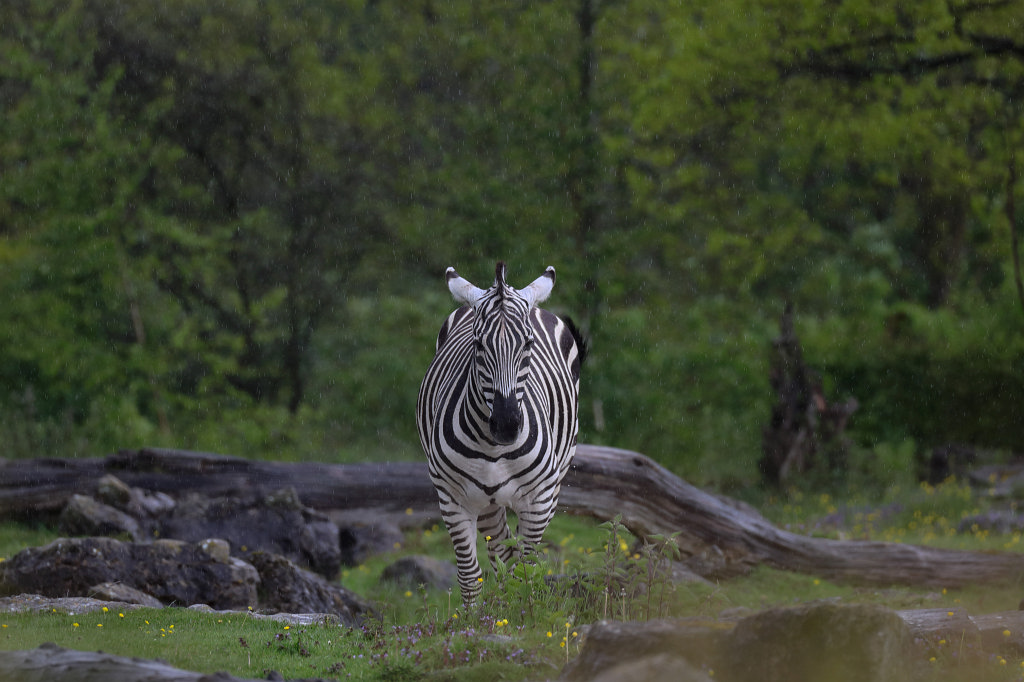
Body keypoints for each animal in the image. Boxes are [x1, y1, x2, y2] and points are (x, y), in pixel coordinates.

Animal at [416, 262, 582, 604]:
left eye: (529, 344)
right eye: (478, 344)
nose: (506, 425)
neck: (493, 450)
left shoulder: (538, 500)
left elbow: (525, 573)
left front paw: (523, 613)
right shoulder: (453, 501)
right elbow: (471, 577)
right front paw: (478, 618)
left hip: (554, 484)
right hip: (487, 504)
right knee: (502, 550)